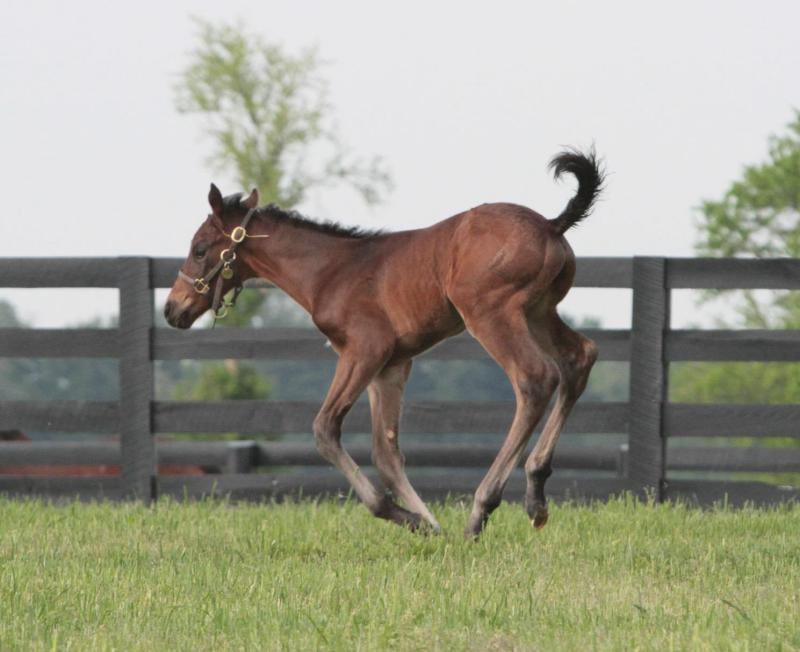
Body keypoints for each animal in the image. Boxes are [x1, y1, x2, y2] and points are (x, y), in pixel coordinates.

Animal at [166, 150, 604, 536]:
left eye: (199, 249)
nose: (174, 309)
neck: (330, 271)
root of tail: (550, 226)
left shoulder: (364, 350)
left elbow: (325, 428)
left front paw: (400, 515)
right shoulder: (392, 365)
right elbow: (386, 452)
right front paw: (428, 525)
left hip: (491, 313)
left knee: (534, 378)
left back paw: (483, 509)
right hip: (538, 311)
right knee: (579, 358)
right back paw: (536, 494)